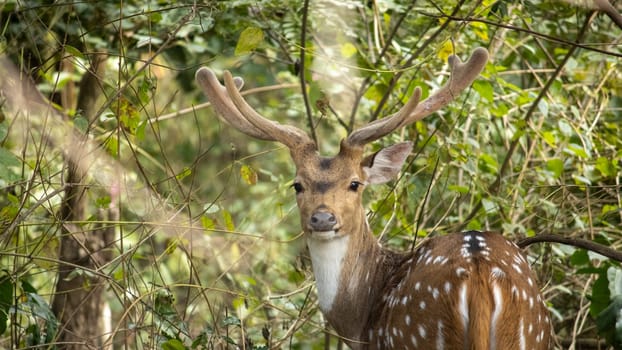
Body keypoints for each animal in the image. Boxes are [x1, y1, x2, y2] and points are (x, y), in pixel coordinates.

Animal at [197, 47, 552, 350]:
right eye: (297, 185)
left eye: (355, 183)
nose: (323, 218)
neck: (359, 321)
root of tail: (481, 274)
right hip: (531, 333)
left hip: (418, 334)